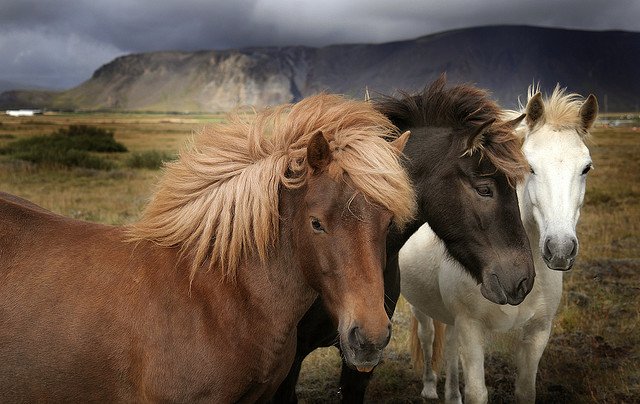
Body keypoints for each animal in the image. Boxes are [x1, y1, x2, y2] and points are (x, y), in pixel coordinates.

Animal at [400, 84, 600, 400]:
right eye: (530, 167)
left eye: (586, 168)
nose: (560, 249)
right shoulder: (472, 328)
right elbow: (477, 392)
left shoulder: (538, 333)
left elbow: (525, 391)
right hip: (419, 307)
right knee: (428, 336)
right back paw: (430, 387)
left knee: (450, 343)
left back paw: (452, 395)